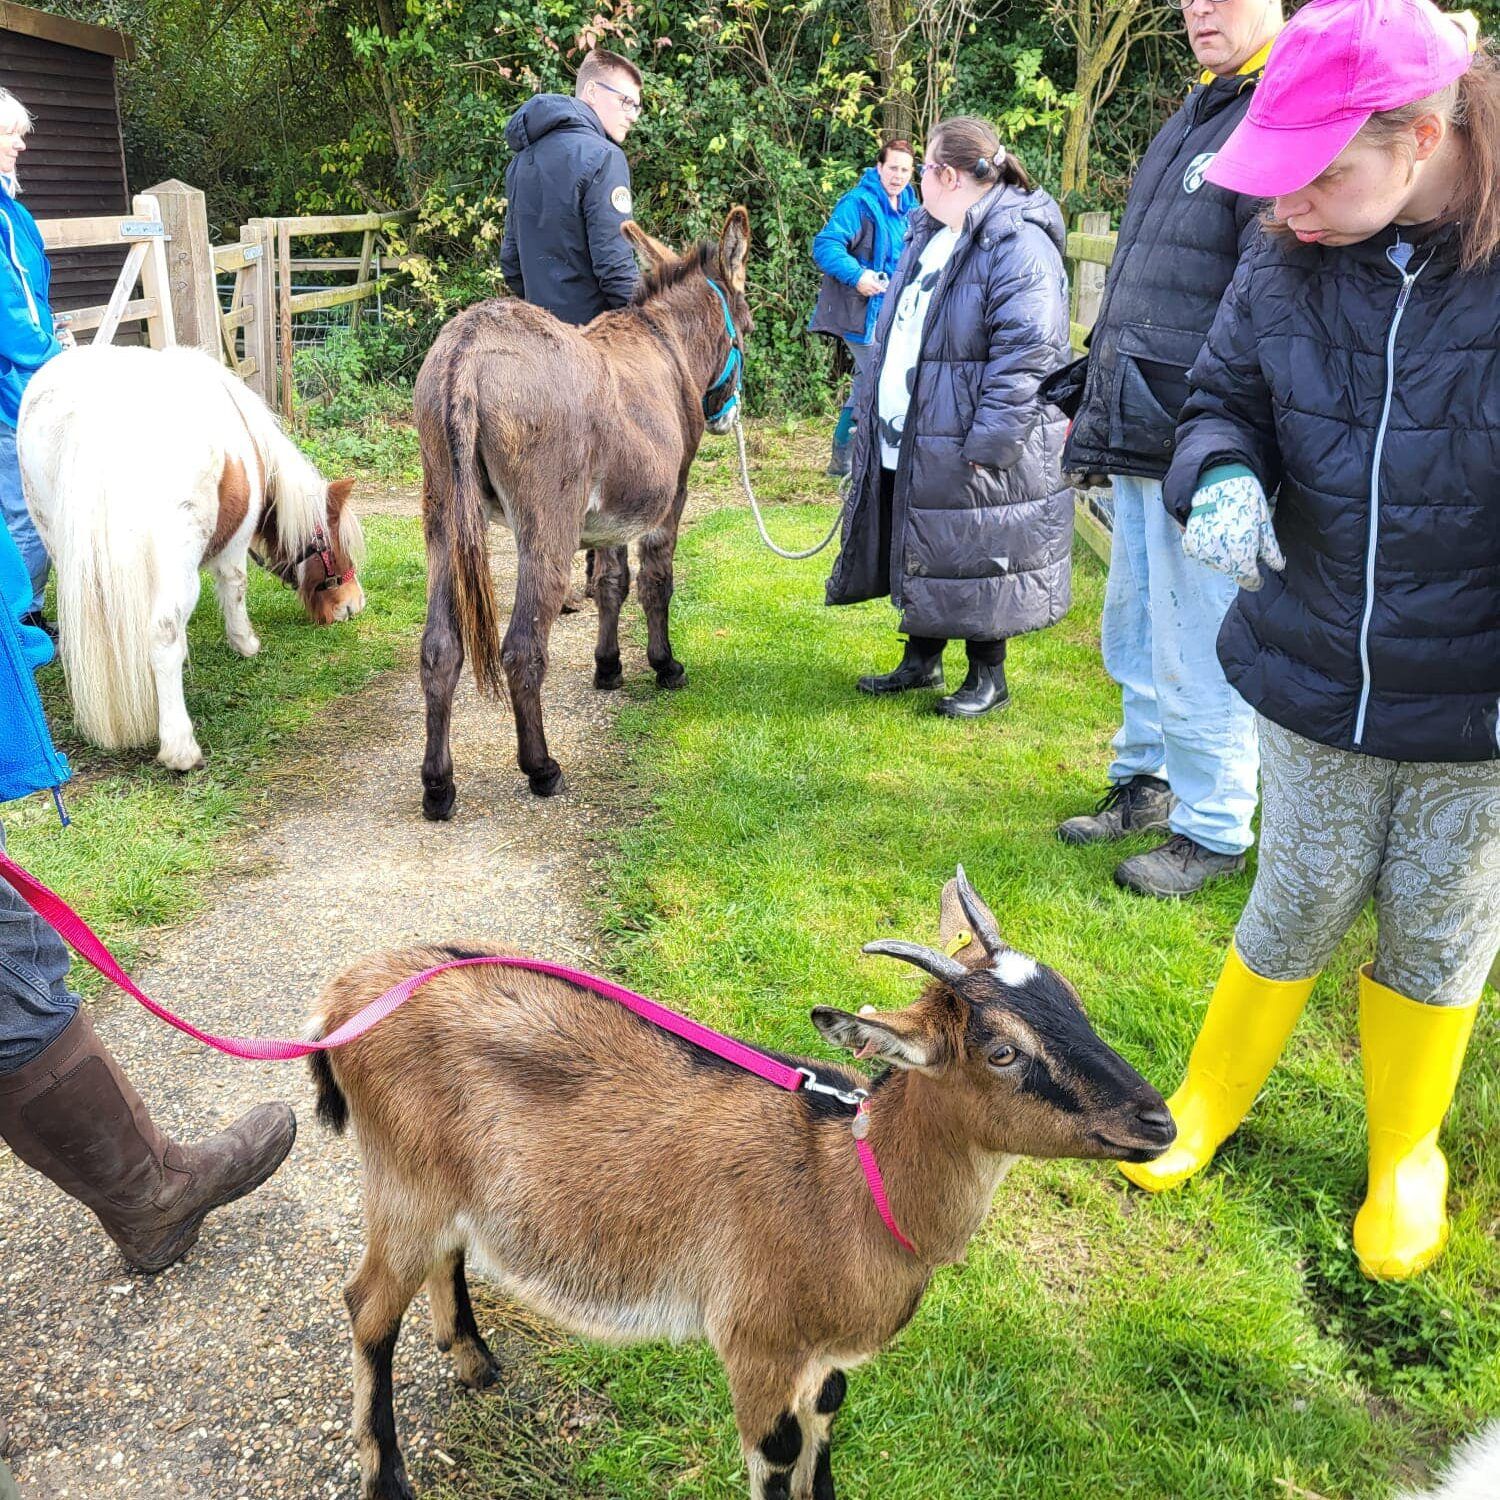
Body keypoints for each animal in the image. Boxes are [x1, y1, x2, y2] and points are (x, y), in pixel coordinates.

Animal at [17, 344, 365, 771]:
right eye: (334, 544)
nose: (353, 605)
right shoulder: (234, 546)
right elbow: (235, 587)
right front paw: (245, 643)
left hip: (58, 541)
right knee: (163, 632)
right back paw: (179, 747)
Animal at [308, 871, 1176, 1499]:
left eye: (1071, 999)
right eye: (1001, 1051)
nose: (1158, 1121)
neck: (851, 1188)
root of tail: (346, 996)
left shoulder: (824, 1365)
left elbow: (824, 1438)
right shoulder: (757, 1345)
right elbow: (779, 1455)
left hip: (450, 1190)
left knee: (446, 1258)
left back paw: (474, 1360)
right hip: (404, 1181)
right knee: (368, 1306)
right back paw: (387, 1478)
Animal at [412, 206, 751, 817]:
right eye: (751, 329)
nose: (726, 418)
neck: (666, 343)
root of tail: (468, 349)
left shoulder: (612, 517)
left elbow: (612, 584)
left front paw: (608, 667)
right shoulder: (670, 500)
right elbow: (656, 582)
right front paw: (664, 665)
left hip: (443, 519)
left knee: (439, 650)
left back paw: (438, 786)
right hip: (546, 526)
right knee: (522, 650)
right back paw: (541, 769)